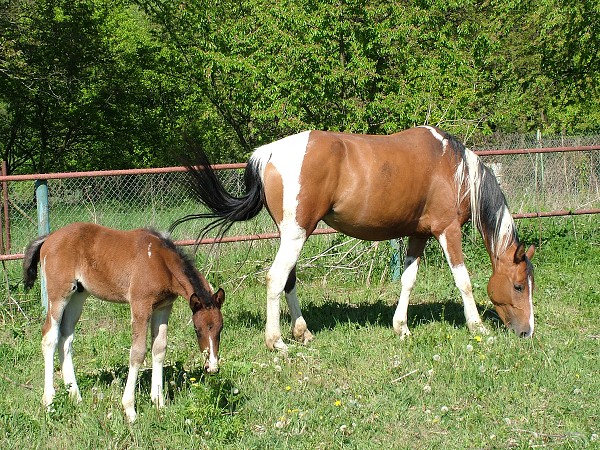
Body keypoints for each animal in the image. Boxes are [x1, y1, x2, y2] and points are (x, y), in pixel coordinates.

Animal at [22, 223, 225, 424]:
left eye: (220, 329)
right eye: (197, 330)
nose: (212, 367)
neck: (160, 261)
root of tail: (49, 238)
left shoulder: (163, 307)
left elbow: (159, 349)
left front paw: (159, 403)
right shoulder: (140, 305)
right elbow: (137, 353)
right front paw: (129, 410)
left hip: (78, 294)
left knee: (65, 338)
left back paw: (76, 397)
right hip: (59, 294)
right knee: (50, 336)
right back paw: (49, 402)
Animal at [173, 125, 536, 352]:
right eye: (518, 286)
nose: (527, 332)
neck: (454, 167)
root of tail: (269, 153)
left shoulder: (417, 234)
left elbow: (408, 280)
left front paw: (401, 327)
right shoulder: (447, 230)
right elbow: (464, 281)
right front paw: (478, 327)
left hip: (291, 235)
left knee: (288, 280)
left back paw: (303, 333)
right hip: (296, 234)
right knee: (275, 279)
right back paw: (277, 342)